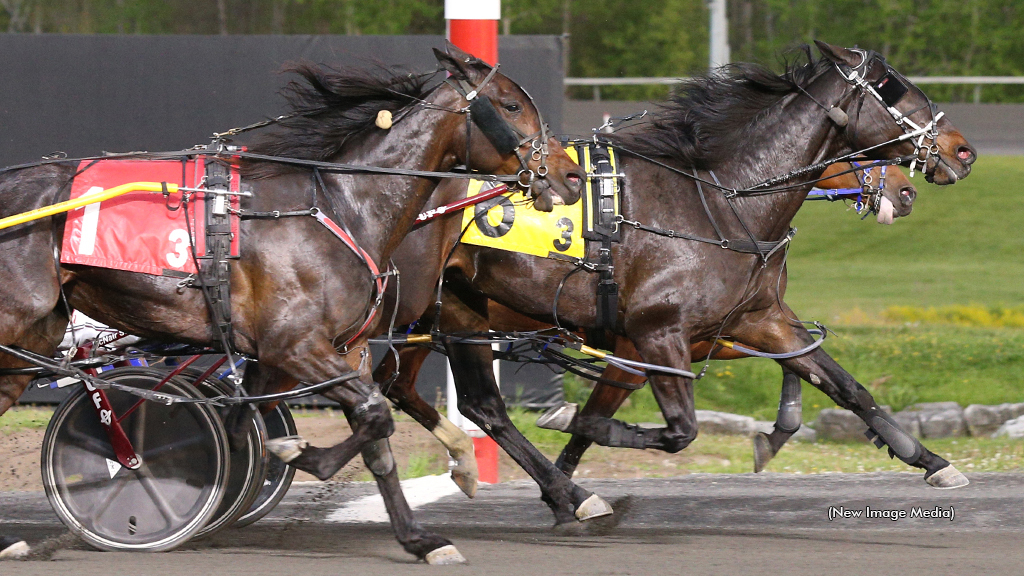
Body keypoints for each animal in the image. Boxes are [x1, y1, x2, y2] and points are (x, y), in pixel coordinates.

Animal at [0, 43, 585, 561]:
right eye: (511, 105)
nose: (572, 175)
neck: (341, 207)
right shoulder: (293, 345)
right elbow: (372, 415)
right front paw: (296, 453)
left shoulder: (339, 350)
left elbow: (365, 435)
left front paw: (420, 539)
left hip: (31, 339)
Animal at [274, 41, 974, 520]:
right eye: (891, 88)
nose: (960, 151)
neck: (719, 200)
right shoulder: (652, 335)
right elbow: (672, 428)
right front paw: (570, 425)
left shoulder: (759, 319)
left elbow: (844, 384)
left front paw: (930, 461)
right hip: (411, 304)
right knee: (386, 384)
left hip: (456, 310)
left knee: (459, 400)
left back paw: (533, 483)